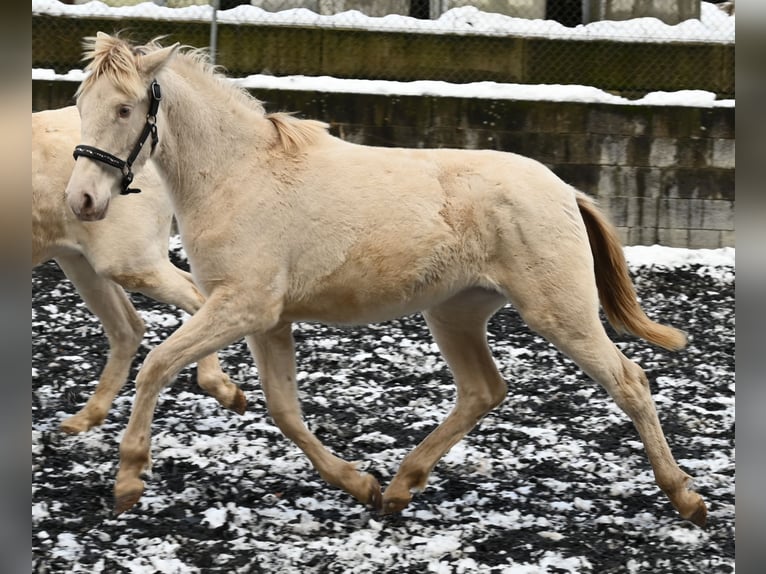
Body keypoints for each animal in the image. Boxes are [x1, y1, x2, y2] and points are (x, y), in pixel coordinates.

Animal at [30, 106, 243, 434]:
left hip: (125, 261)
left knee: (194, 298)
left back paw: (224, 390)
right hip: (81, 261)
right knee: (129, 328)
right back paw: (86, 417)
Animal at [64, 32, 708, 528]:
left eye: (125, 109)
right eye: (81, 102)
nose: (82, 201)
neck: (239, 175)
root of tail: (565, 190)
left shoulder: (242, 306)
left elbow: (156, 365)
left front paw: (128, 479)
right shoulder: (266, 319)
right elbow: (284, 409)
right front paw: (359, 484)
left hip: (559, 311)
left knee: (629, 380)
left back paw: (687, 498)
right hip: (455, 312)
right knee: (484, 390)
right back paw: (399, 486)